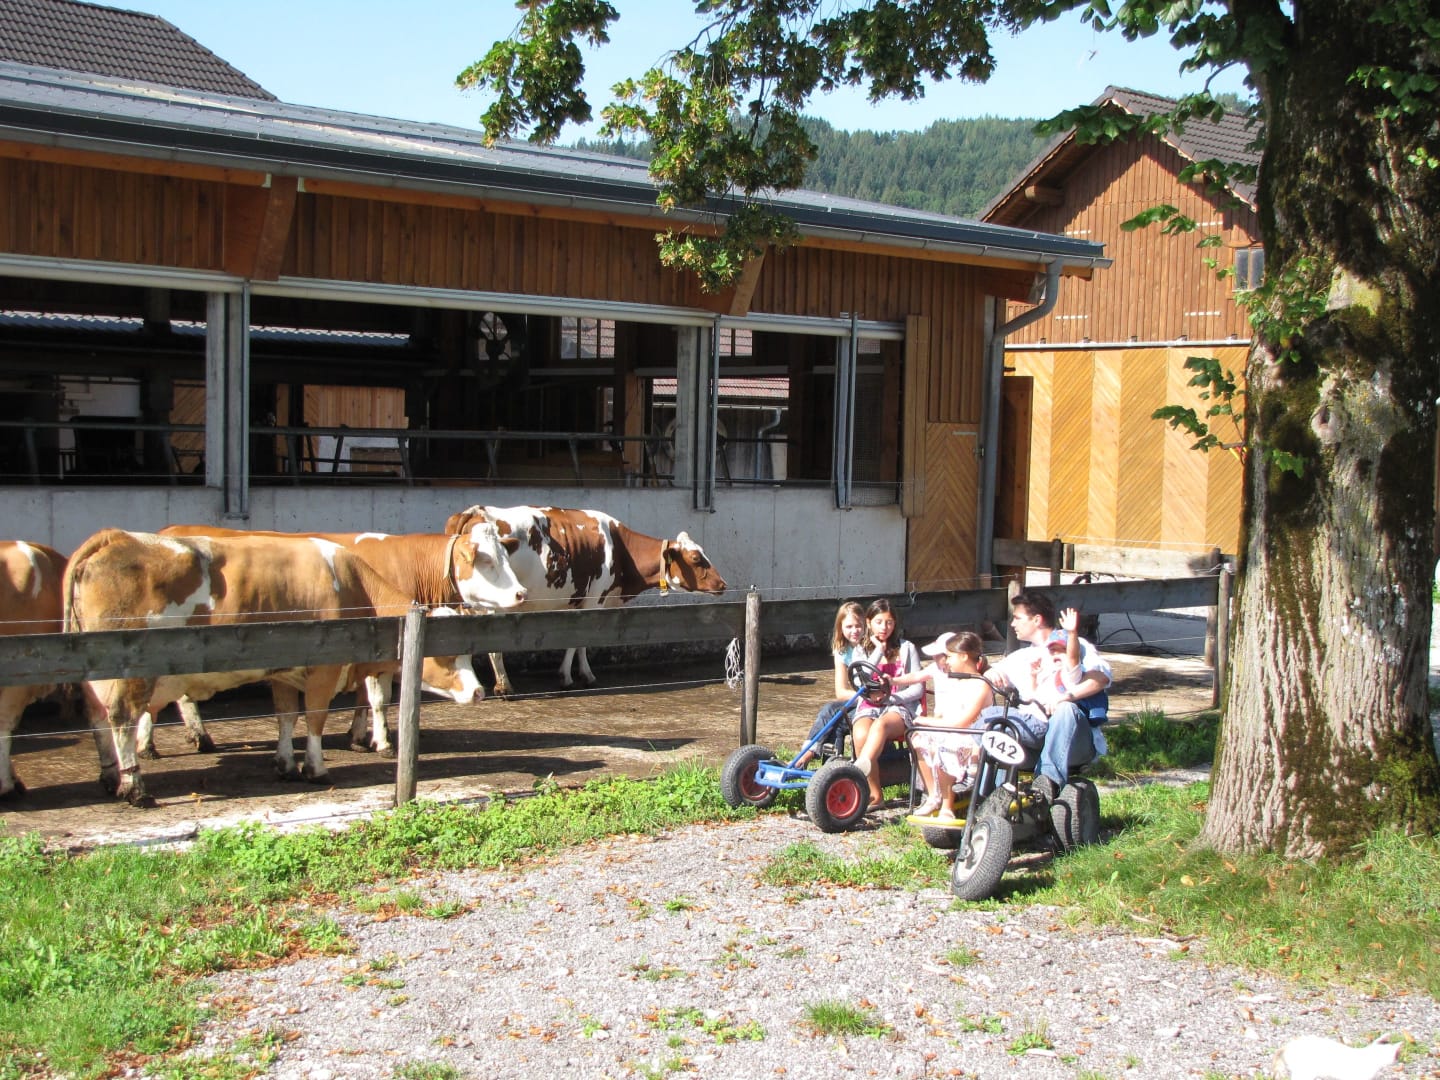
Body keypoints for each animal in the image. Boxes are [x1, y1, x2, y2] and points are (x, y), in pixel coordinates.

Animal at [147, 525, 529, 757]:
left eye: (506, 555)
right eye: (486, 560)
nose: (521, 593)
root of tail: (170, 531)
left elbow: (365, 694)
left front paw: (359, 735)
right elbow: (378, 696)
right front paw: (382, 740)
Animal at [442, 505, 727, 694]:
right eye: (696, 559)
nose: (722, 584)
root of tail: (475, 511)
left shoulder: (581, 601)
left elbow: (579, 641)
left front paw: (580, 674)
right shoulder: (594, 598)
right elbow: (579, 641)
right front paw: (573, 676)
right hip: (496, 603)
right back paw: (504, 686)